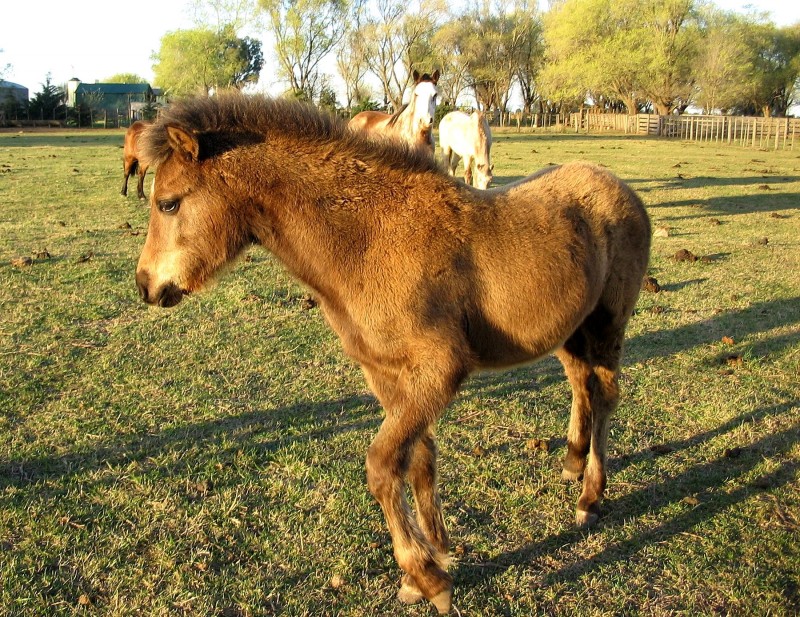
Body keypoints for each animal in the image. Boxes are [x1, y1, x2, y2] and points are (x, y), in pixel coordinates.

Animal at [134, 91, 652, 612]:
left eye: (168, 203)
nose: (146, 287)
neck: (369, 239)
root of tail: (622, 189)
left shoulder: (439, 370)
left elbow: (382, 466)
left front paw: (427, 577)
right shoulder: (385, 373)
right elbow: (418, 458)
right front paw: (434, 555)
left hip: (607, 325)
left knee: (604, 396)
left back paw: (590, 498)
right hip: (569, 331)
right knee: (580, 386)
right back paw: (571, 463)